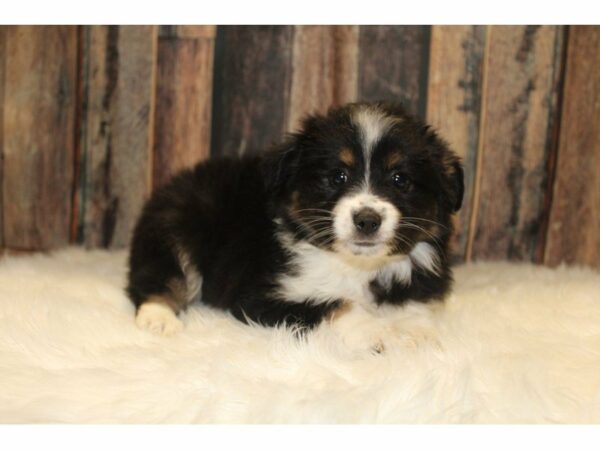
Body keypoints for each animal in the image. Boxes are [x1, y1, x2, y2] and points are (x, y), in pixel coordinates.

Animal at [126, 103, 464, 352]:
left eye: (400, 180)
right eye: (337, 176)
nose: (367, 220)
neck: (357, 266)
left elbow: (414, 305)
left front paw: (417, 332)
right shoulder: (263, 295)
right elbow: (337, 306)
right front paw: (378, 332)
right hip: (175, 227)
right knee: (159, 277)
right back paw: (158, 319)